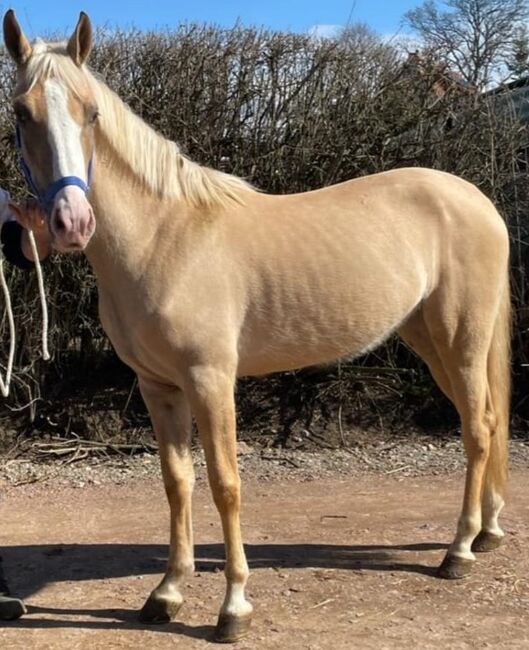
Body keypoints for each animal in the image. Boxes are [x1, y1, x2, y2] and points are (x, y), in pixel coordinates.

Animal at [2, 11, 510, 644]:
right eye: (21, 113)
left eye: (91, 112)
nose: (72, 223)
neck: (164, 238)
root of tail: (478, 200)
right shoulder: (158, 386)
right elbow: (176, 482)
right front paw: (167, 593)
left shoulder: (211, 379)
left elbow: (225, 484)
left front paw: (233, 606)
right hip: (430, 341)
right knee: (483, 420)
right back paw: (486, 533)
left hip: (460, 339)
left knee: (479, 429)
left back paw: (458, 551)